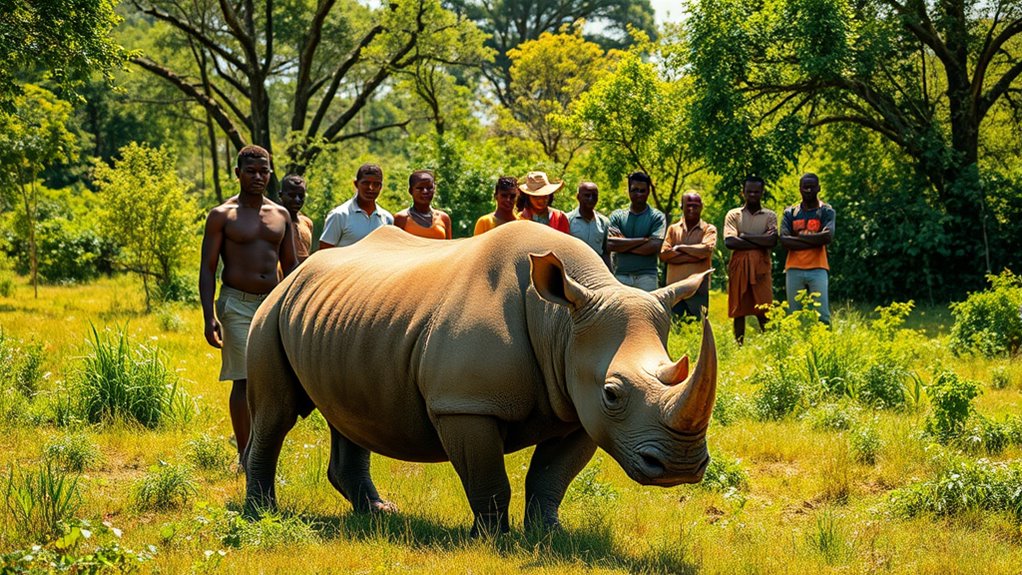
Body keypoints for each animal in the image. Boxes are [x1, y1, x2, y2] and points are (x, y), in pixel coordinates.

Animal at [243, 221, 717, 534]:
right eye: (613, 393)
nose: (680, 467)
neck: (562, 321)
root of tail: (299, 269)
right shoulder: (466, 405)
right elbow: (489, 480)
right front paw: (492, 540)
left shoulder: (579, 410)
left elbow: (550, 477)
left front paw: (549, 536)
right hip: (273, 307)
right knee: (276, 413)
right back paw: (261, 514)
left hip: (344, 316)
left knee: (348, 413)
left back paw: (379, 512)